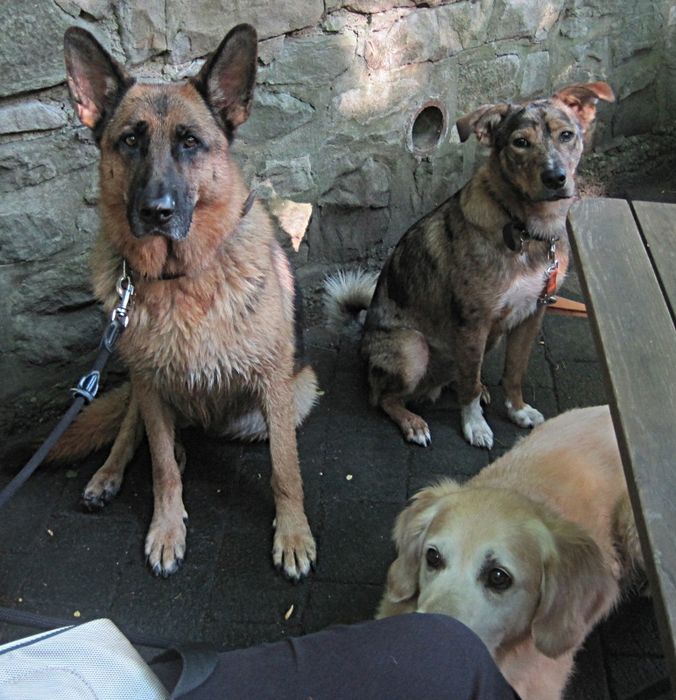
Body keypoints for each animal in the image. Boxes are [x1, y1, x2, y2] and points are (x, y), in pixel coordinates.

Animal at [52, 23, 316, 580]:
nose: (157, 212)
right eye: (130, 140)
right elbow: (160, 468)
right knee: (136, 436)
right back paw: (108, 475)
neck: (178, 277)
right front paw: (167, 529)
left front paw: (292, 534)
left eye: (190, 142)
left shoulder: (275, 388)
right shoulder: (150, 387)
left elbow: (285, 470)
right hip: (138, 384)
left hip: (288, 399)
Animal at [324, 83, 616, 448]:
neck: (527, 229)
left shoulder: (532, 314)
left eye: (566, 135)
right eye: (520, 142)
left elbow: (514, 373)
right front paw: (475, 426)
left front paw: (518, 410)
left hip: (487, 339)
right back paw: (413, 422)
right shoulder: (474, 321)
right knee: (384, 397)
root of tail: (362, 341)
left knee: (458, 376)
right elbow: (469, 390)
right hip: (413, 349)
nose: (555, 178)